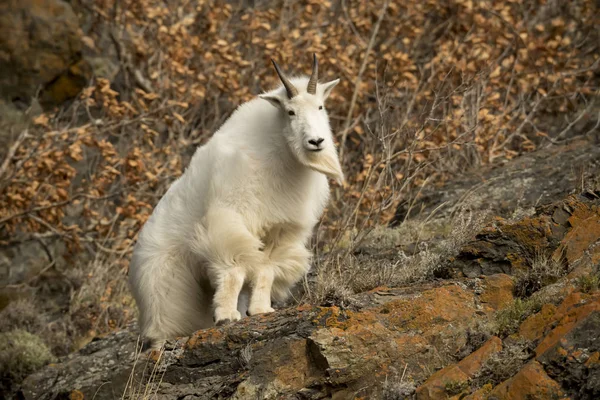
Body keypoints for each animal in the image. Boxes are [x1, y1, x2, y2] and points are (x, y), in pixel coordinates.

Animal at [126, 54, 342, 346]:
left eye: (320, 106)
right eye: (290, 112)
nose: (316, 141)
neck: (280, 155)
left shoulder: (280, 229)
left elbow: (266, 269)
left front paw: (261, 309)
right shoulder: (230, 218)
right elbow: (234, 270)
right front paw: (227, 316)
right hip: (164, 281)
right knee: (164, 319)